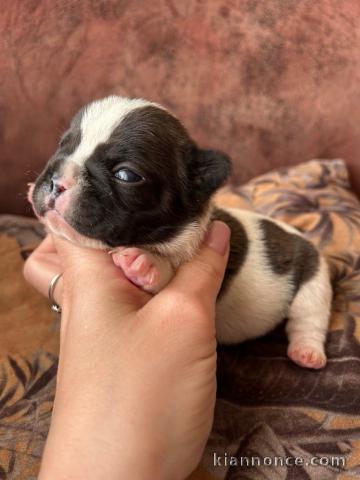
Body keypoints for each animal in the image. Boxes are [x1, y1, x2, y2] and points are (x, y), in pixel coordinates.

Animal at [28, 95, 332, 370]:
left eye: (126, 175)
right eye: (62, 147)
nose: (55, 181)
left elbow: (169, 273)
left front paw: (147, 263)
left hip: (314, 279)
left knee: (308, 317)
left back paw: (307, 352)